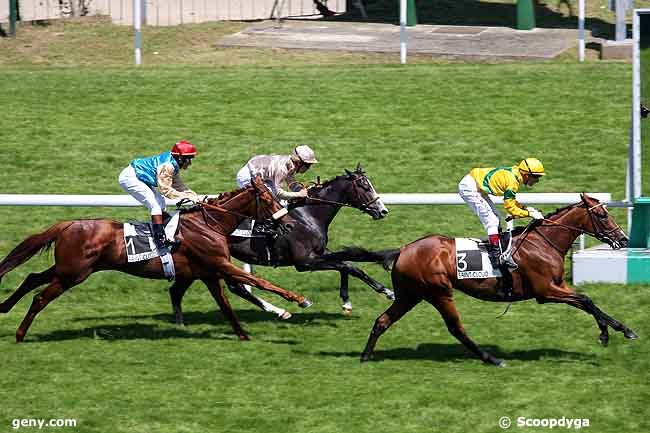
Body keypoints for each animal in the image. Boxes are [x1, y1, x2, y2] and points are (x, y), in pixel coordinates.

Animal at [0, 175, 312, 340]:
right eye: (269, 200)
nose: (289, 225)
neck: (209, 224)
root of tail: (67, 224)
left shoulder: (209, 273)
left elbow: (226, 305)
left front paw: (243, 335)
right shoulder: (220, 264)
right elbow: (258, 282)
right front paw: (298, 300)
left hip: (68, 268)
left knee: (32, 278)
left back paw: (4, 307)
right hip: (73, 273)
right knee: (40, 297)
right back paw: (19, 334)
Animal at [167, 163, 392, 324]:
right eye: (365, 186)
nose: (383, 211)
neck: (308, 215)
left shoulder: (320, 252)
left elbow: (347, 265)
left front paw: (348, 301)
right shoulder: (305, 262)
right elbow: (347, 266)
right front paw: (384, 291)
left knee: (182, 289)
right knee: (234, 286)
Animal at [326, 194, 636, 366]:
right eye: (602, 214)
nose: (623, 239)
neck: (543, 242)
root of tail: (402, 250)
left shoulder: (556, 287)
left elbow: (586, 300)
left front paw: (614, 331)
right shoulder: (546, 291)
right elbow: (585, 299)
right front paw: (617, 331)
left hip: (410, 295)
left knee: (382, 321)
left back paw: (366, 356)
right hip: (439, 292)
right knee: (456, 328)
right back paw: (492, 358)